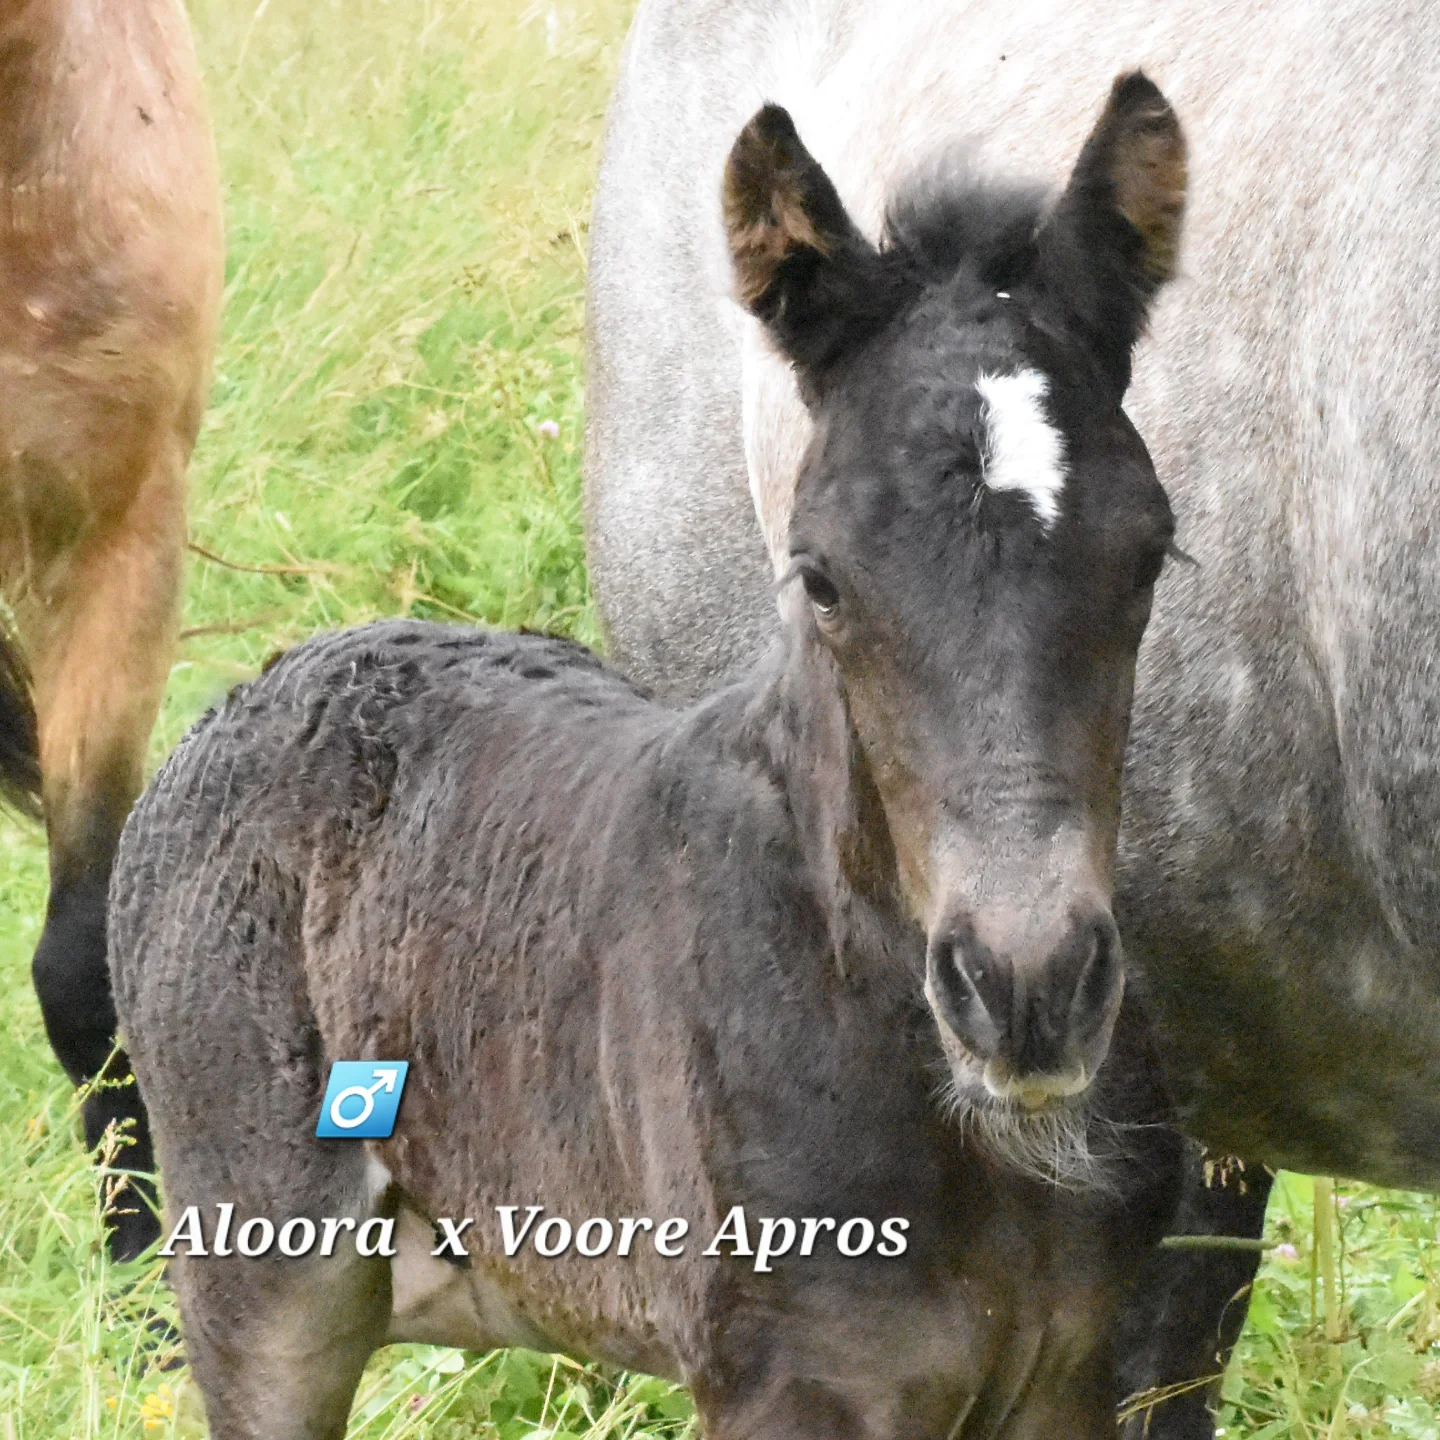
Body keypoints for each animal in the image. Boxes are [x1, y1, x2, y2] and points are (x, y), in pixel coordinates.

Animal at [110, 76, 1190, 1438]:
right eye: (820, 578)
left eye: (1150, 555)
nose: (1026, 989)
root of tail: (245, 695)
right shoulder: (790, 1381)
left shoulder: (1073, 1371)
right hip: (261, 1288)